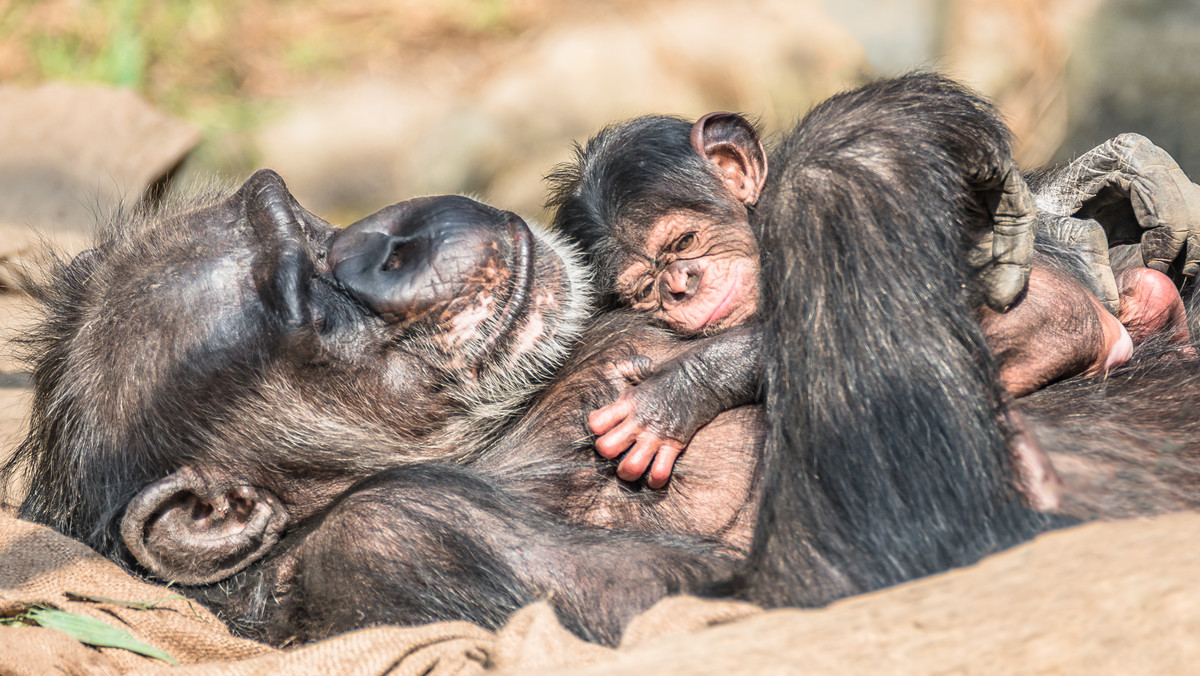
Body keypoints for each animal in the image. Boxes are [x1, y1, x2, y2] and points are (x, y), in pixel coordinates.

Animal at [7, 72, 1200, 643]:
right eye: (310, 300)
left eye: (309, 225)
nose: (389, 238)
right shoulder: (390, 544)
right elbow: (847, 586)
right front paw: (879, 124)